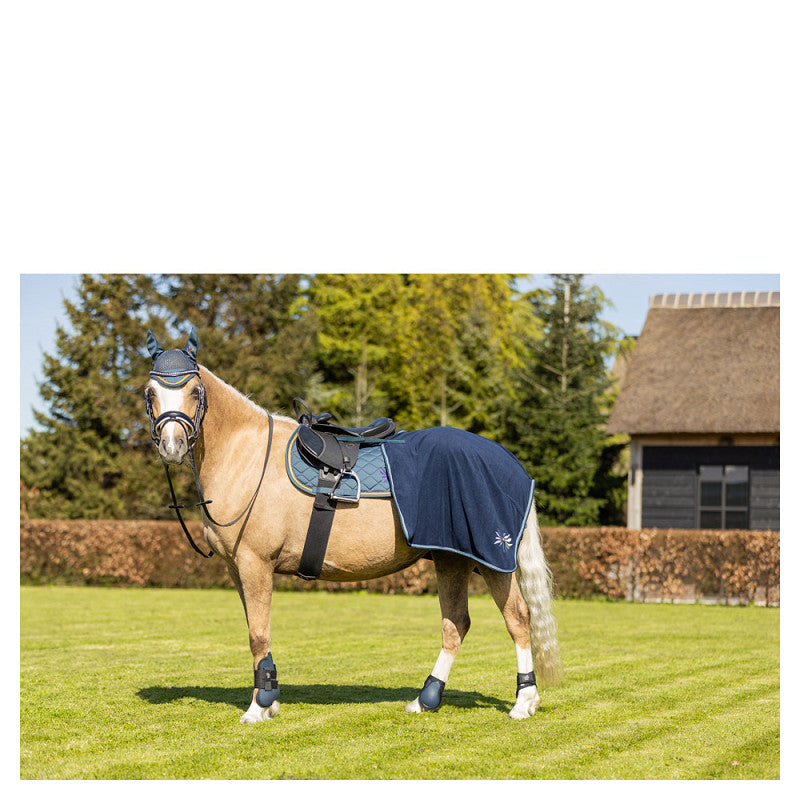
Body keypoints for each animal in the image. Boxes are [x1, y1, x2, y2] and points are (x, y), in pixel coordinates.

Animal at [144, 329, 562, 724]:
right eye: (150, 392)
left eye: (195, 390)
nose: (172, 445)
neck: (247, 456)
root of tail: (510, 462)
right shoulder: (237, 571)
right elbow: (255, 632)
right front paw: (269, 699)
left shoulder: (255, 564)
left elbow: (257, 635)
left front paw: (258, 707)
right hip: (452, 560)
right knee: (456, 624)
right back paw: (425, 700)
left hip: (493, 560)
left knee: (518, 619)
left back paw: (524, 702)